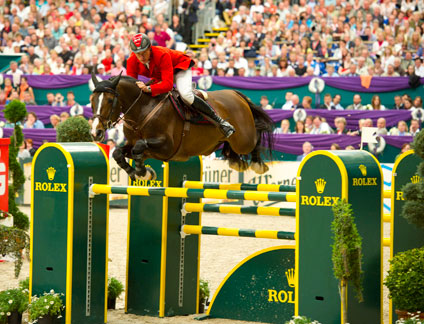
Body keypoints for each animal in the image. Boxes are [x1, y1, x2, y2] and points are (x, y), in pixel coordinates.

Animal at [90, 72, 274, 181]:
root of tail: (236, 94)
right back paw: (236, 161)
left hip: (244, 140)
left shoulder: (166, 146)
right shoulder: (138, 146)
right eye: (92, 100)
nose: (95, 132)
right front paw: (140, 173)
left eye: (109, 100)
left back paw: (257, 164)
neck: (143, 109)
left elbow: (139, 147)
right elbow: (118, 153)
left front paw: (143, 173)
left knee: (255, 138)